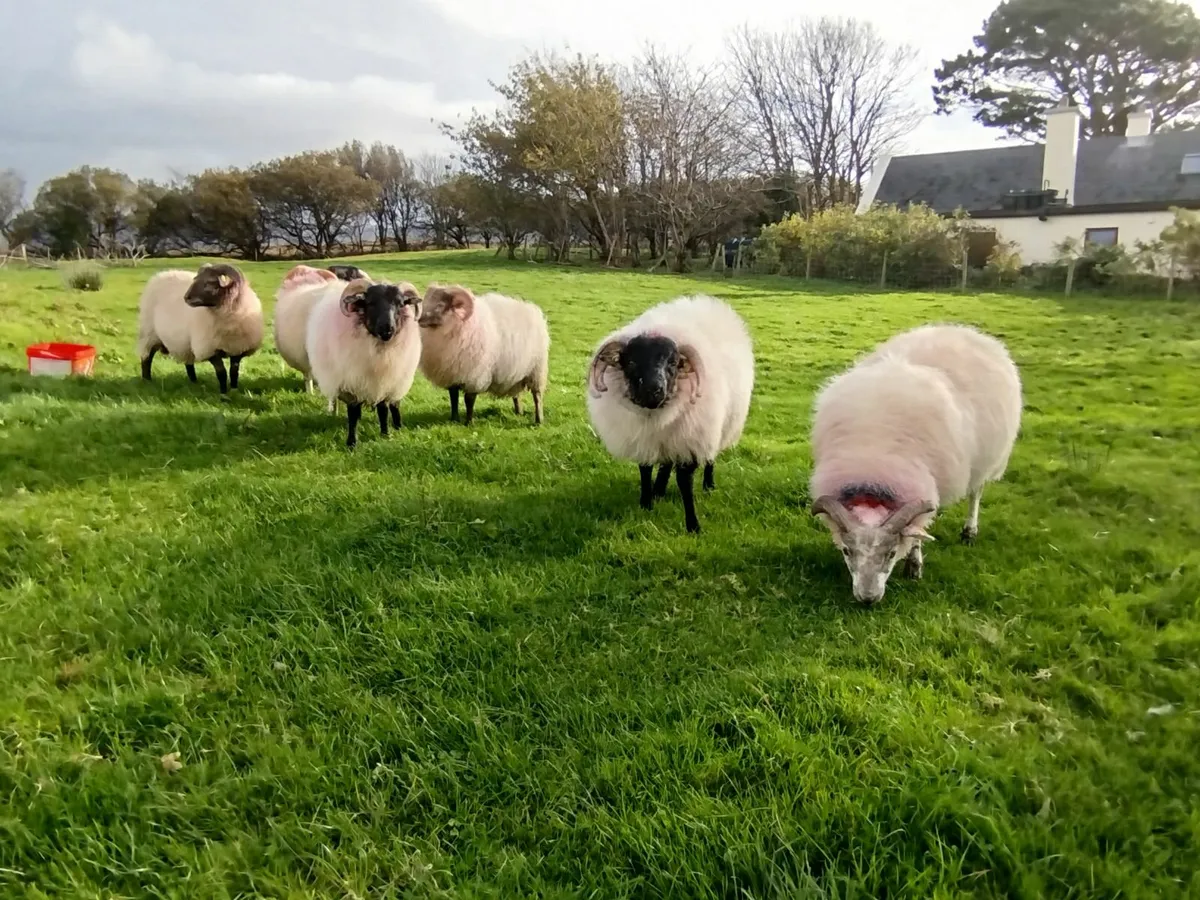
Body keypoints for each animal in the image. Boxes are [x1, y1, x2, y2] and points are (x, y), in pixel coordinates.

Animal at [137, 263, 264, 393]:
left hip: (184, 342)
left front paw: (234, 390)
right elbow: (222, 373)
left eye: (209, 282)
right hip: (149, 334)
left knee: (188, 362)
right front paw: (224, 394)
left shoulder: (237, 349)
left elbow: (234, 372)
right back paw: (147, 381)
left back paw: (194, 382)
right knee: (146, 358)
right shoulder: (208, 349)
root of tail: (161, 275)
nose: (186, 297)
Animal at [306, 277, 423, 449]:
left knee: (395, 404)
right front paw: (352, 443)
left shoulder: (385, 382)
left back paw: (398, 426)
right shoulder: (351, 384)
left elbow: (383, 410)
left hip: (399, 380)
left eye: (401, 304)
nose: (387, 328)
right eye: (371, 302)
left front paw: (385, 434)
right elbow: (353, 414)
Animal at [417, 284, 549, 426]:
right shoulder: (453, 374)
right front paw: (454, 419)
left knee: (537, 396)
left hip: (537, 370)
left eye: (440, 305)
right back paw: (518, 411)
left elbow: (469, 399)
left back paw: (538, 420)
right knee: (516, 394)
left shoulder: (474, 376)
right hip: (515, 373)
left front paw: (469, 423)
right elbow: (453, 397)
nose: (419, 319)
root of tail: (533, 310)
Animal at [585, 294, 755, 534]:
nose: (654, 389)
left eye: (673, 362)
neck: (655, 417)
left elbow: (685, 483)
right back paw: (660, 489)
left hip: (716, 426)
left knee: (710, 457)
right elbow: (645, 470)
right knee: (666, 463)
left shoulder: (690, 441)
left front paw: (693, 525)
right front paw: (646, 502)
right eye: (631, 361)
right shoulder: (646, 439)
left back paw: (708, 484)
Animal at [808, 322, 1022, 605]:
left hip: (984, 459)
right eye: (846, 550)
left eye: (891, 553)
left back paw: (969, 531)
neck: (875, 465)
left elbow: (917, 533)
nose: (868, 599)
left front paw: (914, 566)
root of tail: (962, 329)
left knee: (975, 493)